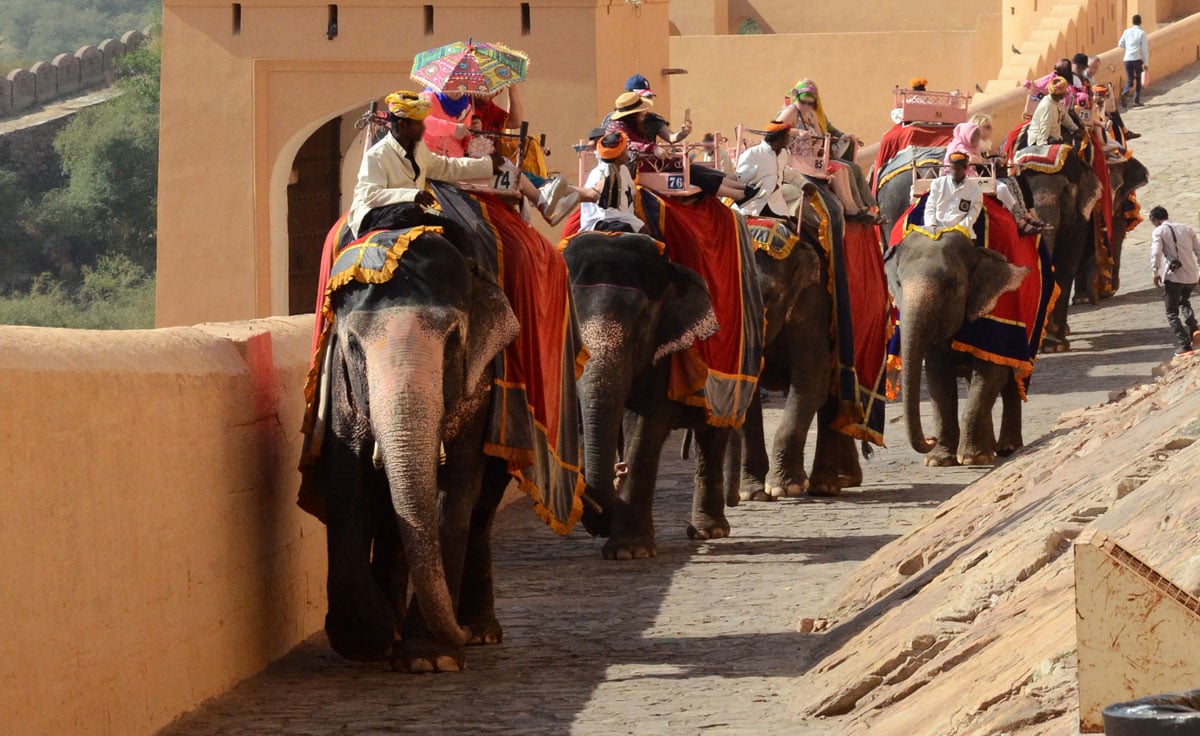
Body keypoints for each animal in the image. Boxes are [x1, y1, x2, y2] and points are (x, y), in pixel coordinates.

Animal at [564, 232, 739, 559]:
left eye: (642, 323)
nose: (618, 470)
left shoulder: (665, 348)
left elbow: (645, 426)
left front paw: (628, 552)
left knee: (713, 434)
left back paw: (709, 532)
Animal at [883, 228, 1032, 465]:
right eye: (898, 283)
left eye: (951, 284)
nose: (931, 438)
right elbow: (938, 380)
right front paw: (939, 461)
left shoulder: (995, 313)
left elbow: (991, 372)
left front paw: (972, 458)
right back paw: (990, 447)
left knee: (1010, 380)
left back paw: (1007, 448)